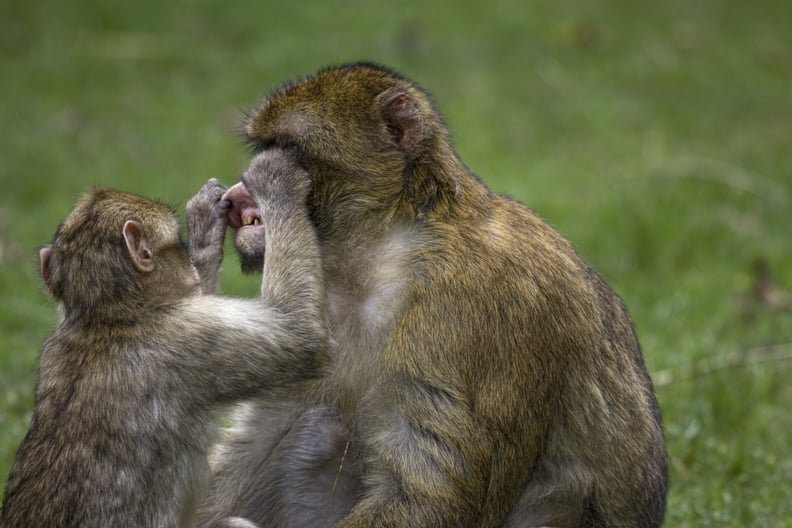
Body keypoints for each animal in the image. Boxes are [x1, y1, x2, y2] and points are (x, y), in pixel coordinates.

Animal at [0, 151, 324, 524]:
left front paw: (204, 228)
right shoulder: (189, 343)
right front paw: (275, 182)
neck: (107, 316)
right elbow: (299, 334)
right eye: (176, 244)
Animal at [195, 63, 664, 528]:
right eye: (263, 145)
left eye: (286, 147)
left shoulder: (467, 303)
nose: (237, 196)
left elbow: (432, 487)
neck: (380, 245)